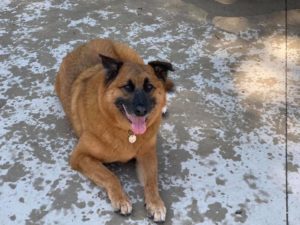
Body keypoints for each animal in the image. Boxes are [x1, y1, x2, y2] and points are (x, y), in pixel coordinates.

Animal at [55, 38, 175, 221]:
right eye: (127, 87)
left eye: (149, 87)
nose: (142, 110)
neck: (128, 133)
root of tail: (91, 41)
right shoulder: (80, 156)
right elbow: (110, 176)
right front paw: (121, 199)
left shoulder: (147, 154)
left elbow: (152, 180)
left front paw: (155, 203)